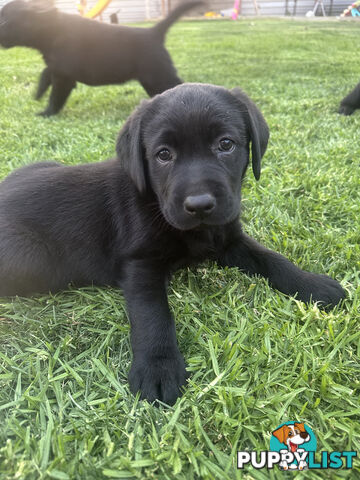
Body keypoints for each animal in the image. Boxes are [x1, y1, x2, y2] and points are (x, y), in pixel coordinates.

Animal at [0, 0, 202, 116]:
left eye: (4, 21)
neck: (51, 28)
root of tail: (154, 33)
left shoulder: (63, 76)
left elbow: (55, 96)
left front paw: (47, 113)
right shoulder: (57, 67)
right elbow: (45, 72)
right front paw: (39, 91)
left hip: (158, 75)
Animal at [0, 84, 344, 404]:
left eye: (225, 144)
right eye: (163, 154)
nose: (200, 205)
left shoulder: (229, 239)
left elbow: (271, 258)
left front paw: (312, 284)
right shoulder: (139, 265)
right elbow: (153, 314)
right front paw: (158, 366)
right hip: (31, 260)